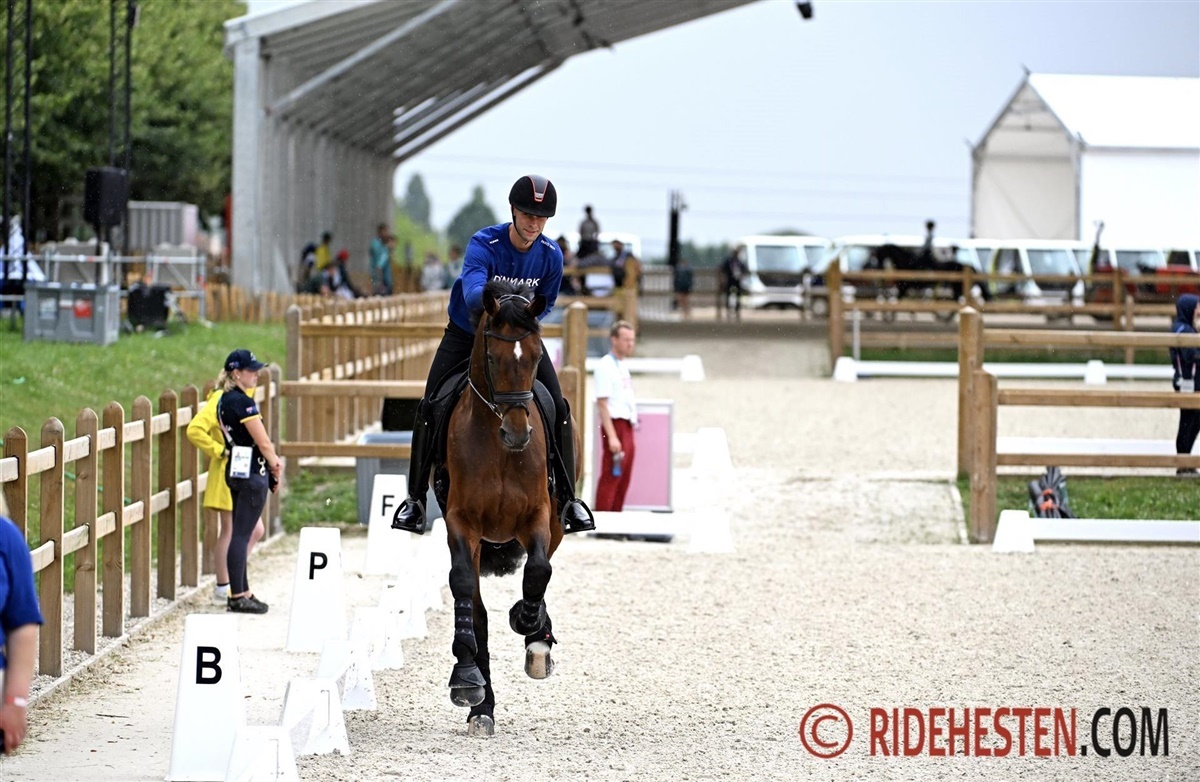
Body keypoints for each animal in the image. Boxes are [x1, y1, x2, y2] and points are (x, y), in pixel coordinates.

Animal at [437, 278, 569, 737]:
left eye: (536, 356)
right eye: (492, 358)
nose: (518, 433)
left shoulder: (539, 518)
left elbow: (539, 571)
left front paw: (530, 627)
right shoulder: (462, 523)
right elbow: (464, 589)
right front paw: (466, 680)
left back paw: (538, 636)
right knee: (476, 612)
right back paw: (482, 705)